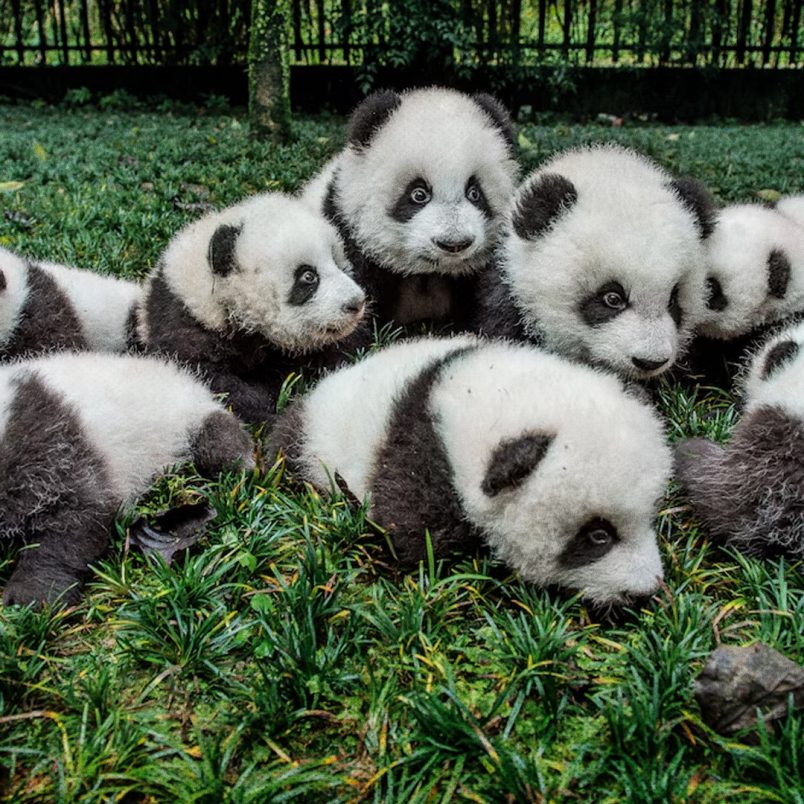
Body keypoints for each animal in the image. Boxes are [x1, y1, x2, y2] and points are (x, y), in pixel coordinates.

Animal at [0, 351, 254, 607]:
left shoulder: (54, 444)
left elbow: (76, 517)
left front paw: (34, 596)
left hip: (184, 414)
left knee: (217, 439)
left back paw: (242, 462)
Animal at [269, 336, 672, 607]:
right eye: (598, 535)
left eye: (649, 516)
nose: (647, 588)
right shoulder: (424, 459)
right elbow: (410, 535)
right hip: (316, 442)